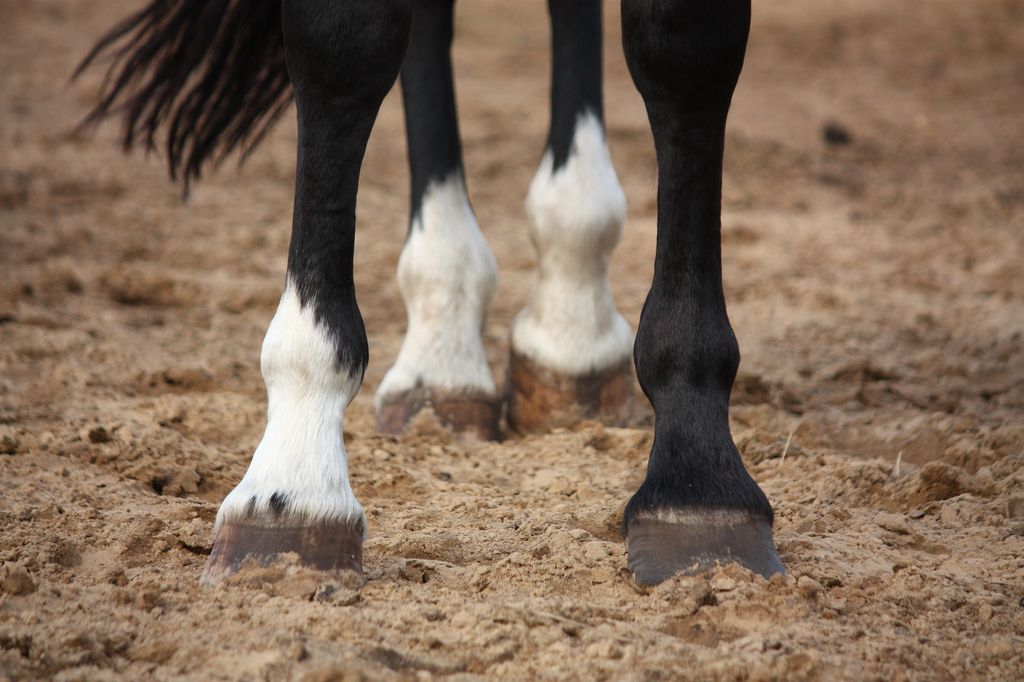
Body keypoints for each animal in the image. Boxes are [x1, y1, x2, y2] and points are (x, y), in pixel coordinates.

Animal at [76, 0, 784, 586]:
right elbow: (341, 43)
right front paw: (291, 482)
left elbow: (686, 48)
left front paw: (698, 480)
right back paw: (449, 344)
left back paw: (569, 319)